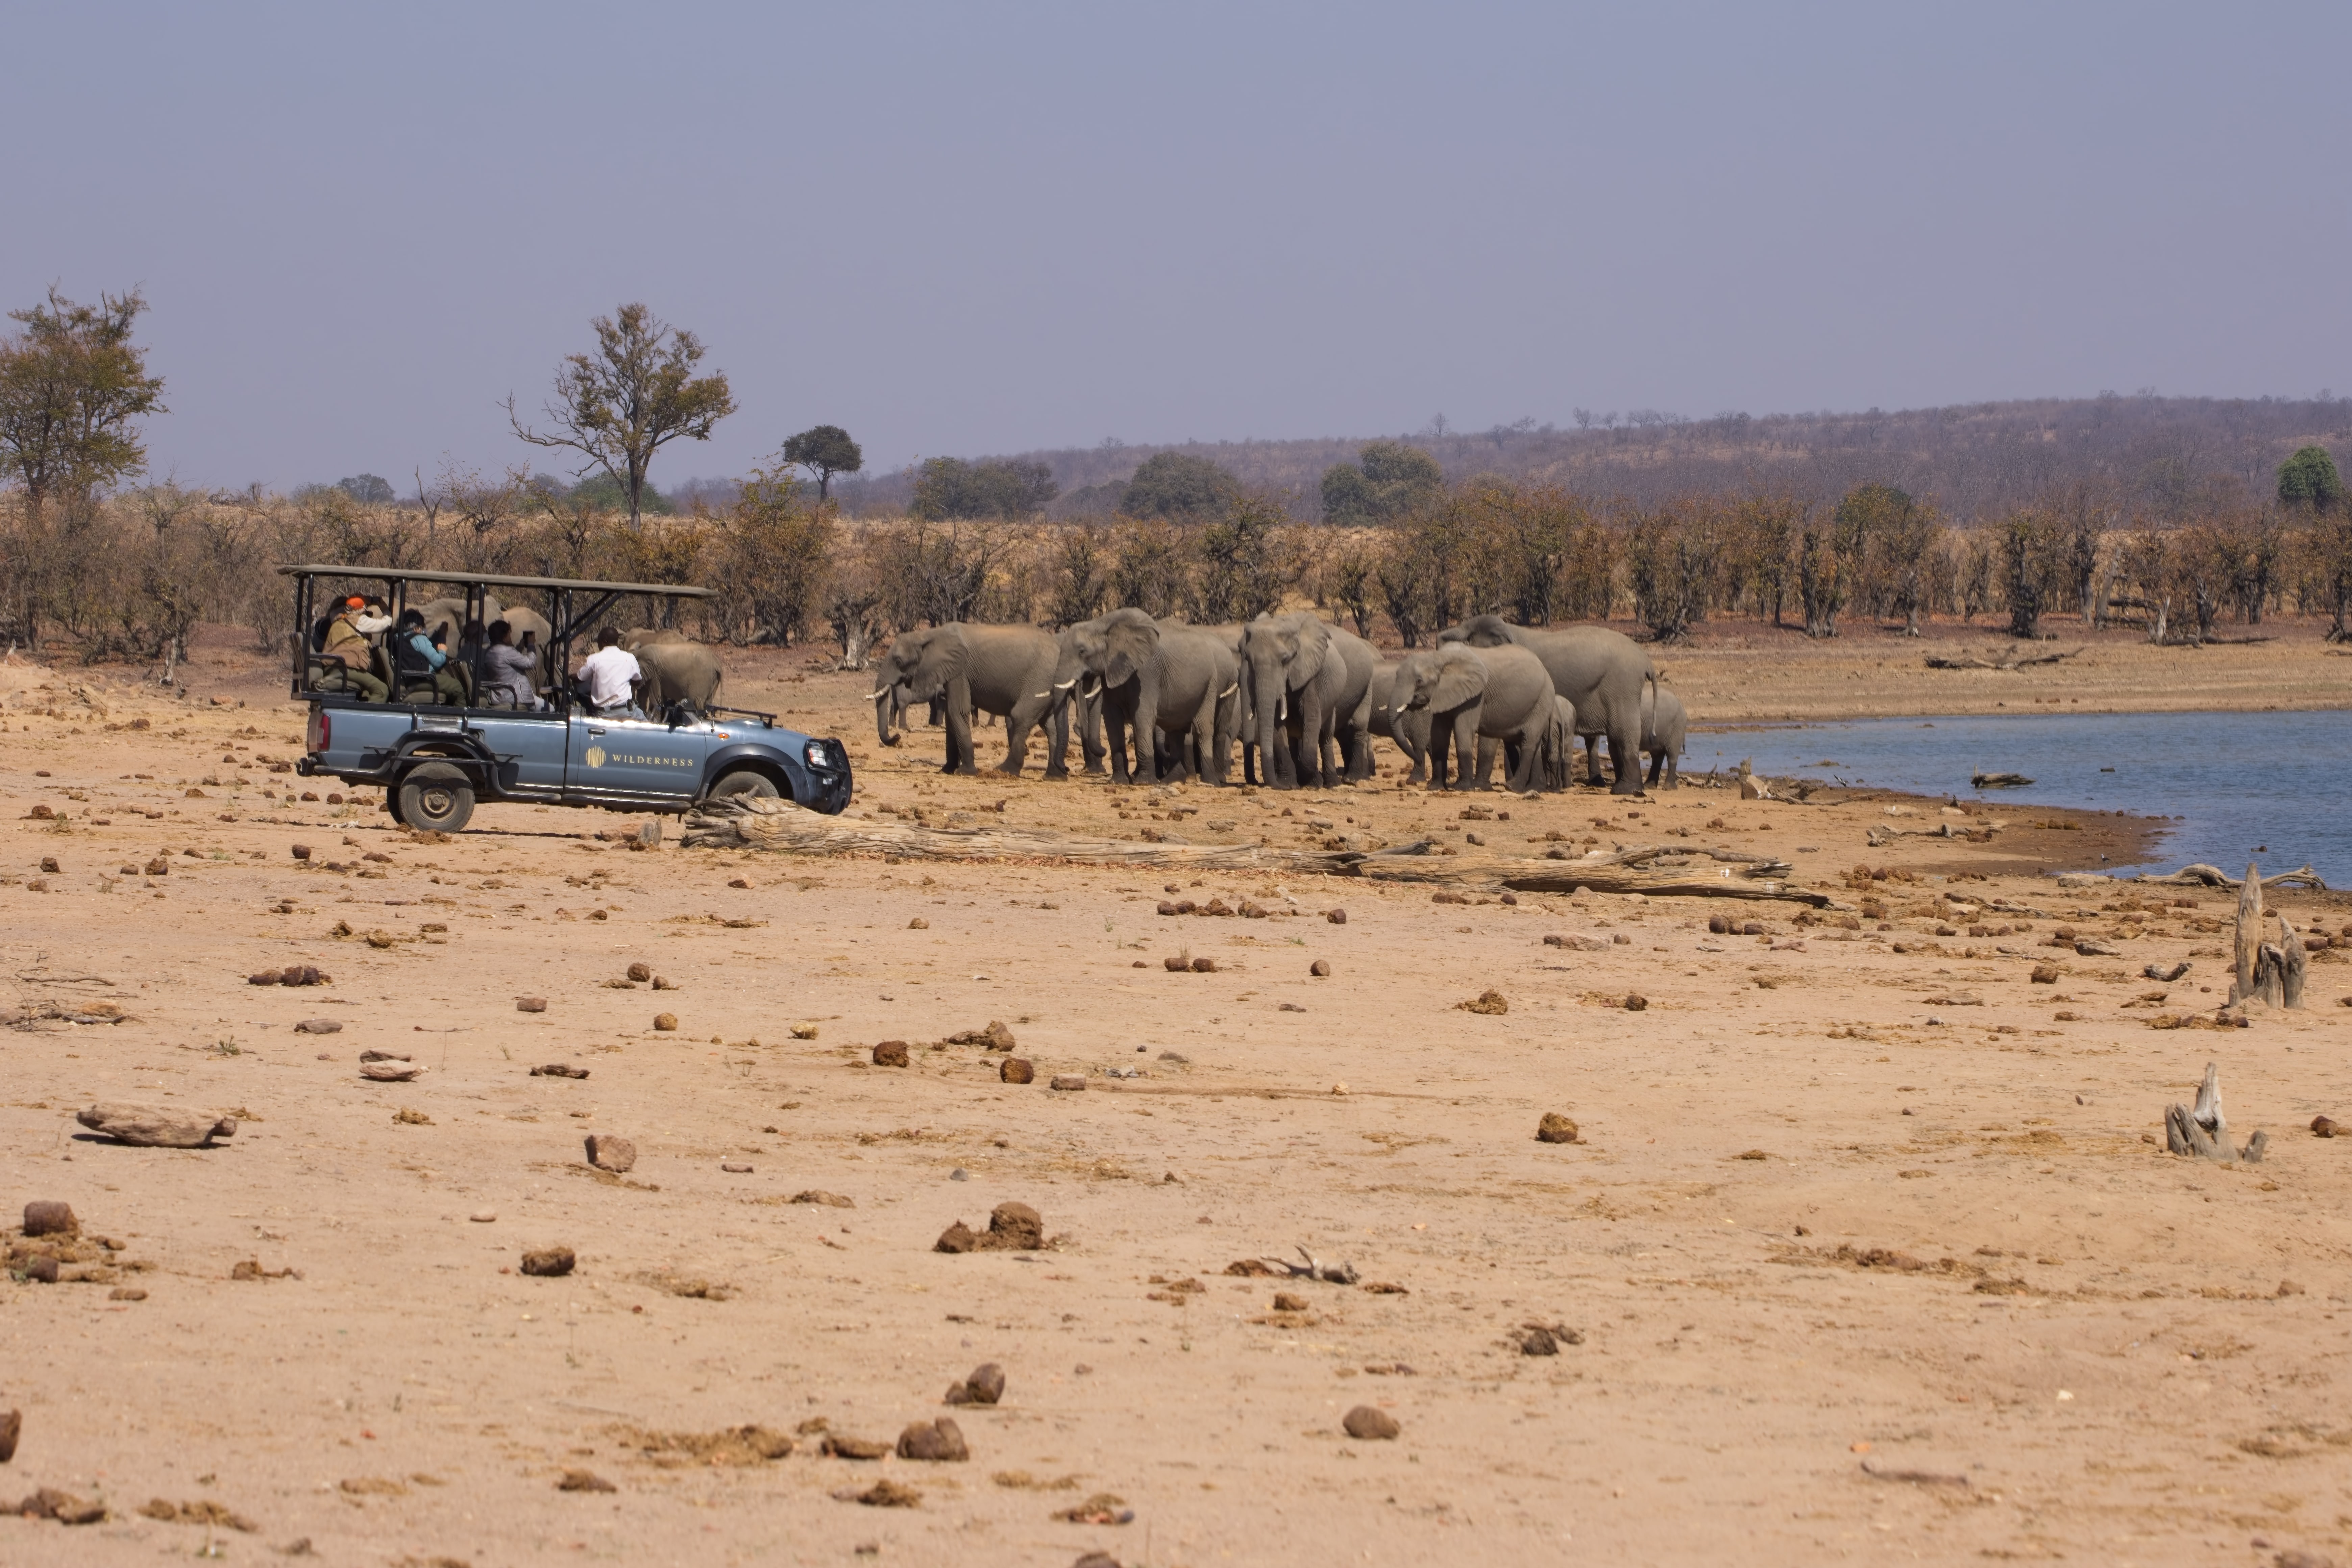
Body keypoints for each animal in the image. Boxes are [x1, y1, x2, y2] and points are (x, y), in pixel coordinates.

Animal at [875, 620, 1077, 780]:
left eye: (899, 662)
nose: (898, 737)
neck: (930, 634)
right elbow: (952, 717)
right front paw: (946, 771)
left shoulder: (960, 671)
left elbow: (957, 711)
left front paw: (965, 773)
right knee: (1051, 727)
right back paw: (1055, 777)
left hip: (1039, 680)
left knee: (1020, 717)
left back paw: (1004, 772)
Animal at [1072, 611, 1242, 790]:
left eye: (1083, 652)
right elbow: (1117, 719)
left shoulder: (1147, 676)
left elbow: (1143, 718)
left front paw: (1144, 782)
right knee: (1177, 731)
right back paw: (1173, 780)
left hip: (1218, 682)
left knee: (1210, 729)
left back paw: (1214, 781)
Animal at [1232, 611, 1373, 790]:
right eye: (1246, 657)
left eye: (1285, 660)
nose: (1258, 783)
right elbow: (1277, 725)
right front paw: (1289, 785)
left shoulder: (1310, 675)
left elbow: (1311, 720)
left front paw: (1313, 782)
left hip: (1366, 685)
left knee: (1344, 730)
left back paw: (1345, 780)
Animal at [1383, 639, 1552, 790]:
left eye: (1419, 682)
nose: (1417, 759)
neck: (1438, 658)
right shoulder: (1443, 693)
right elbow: (1438, 734)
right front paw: (1435, 787)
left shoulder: (1475, 696)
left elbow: (1463, 731)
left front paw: (1462, 788)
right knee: (1531, 744)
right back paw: (1535, 788)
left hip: (1542, 701)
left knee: (1529, 742)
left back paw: (1513, 788)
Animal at [1430, 616, 1656, 799]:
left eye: (1466, 641)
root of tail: (1647, 661)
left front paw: (1484, 787)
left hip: (1622, 685)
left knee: (1622, 731)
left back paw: (1626, 791)